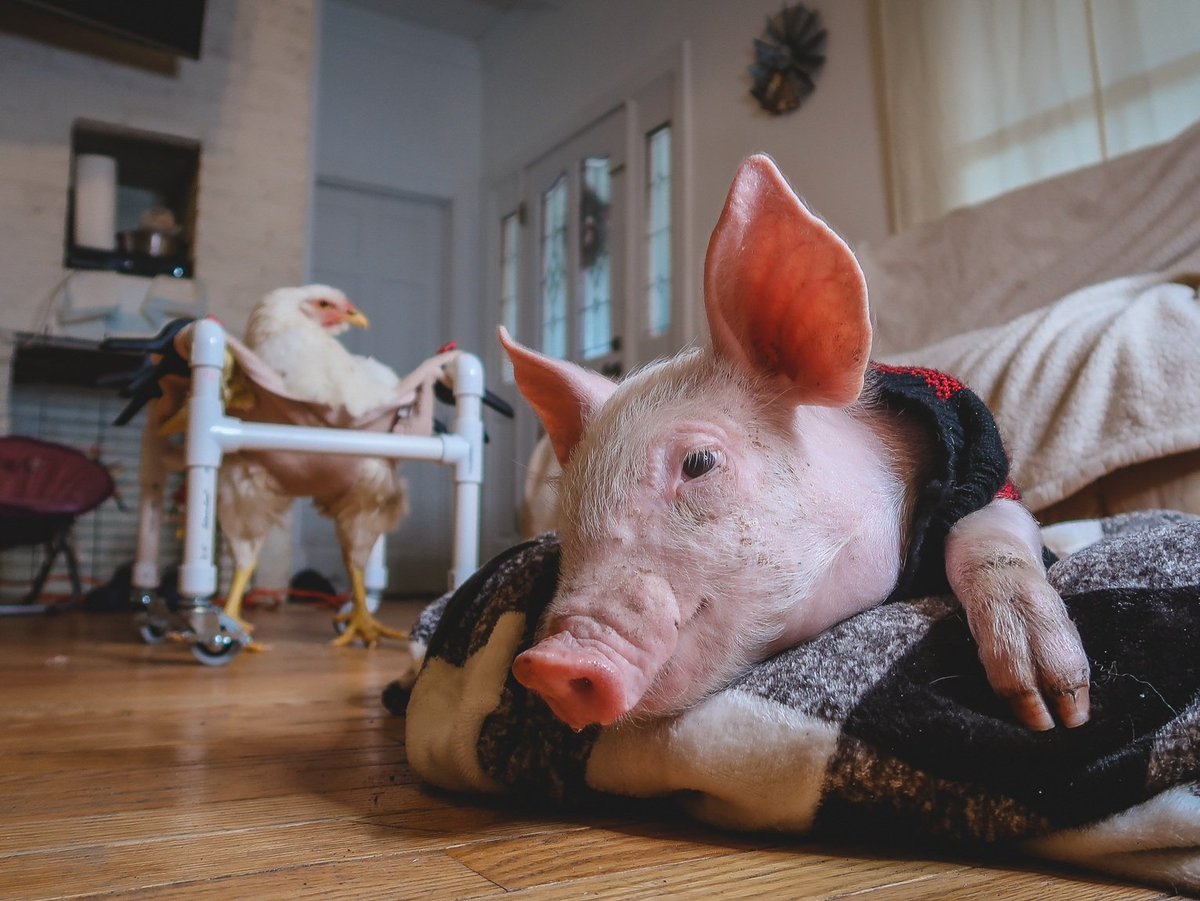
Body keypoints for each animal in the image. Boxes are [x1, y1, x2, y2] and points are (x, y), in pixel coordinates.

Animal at [496, 153, 1089, 734]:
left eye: (699, 462)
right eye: (568, 507)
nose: (547, 663)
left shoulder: (986, 473)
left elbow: (991, 534)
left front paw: (1053, 711)